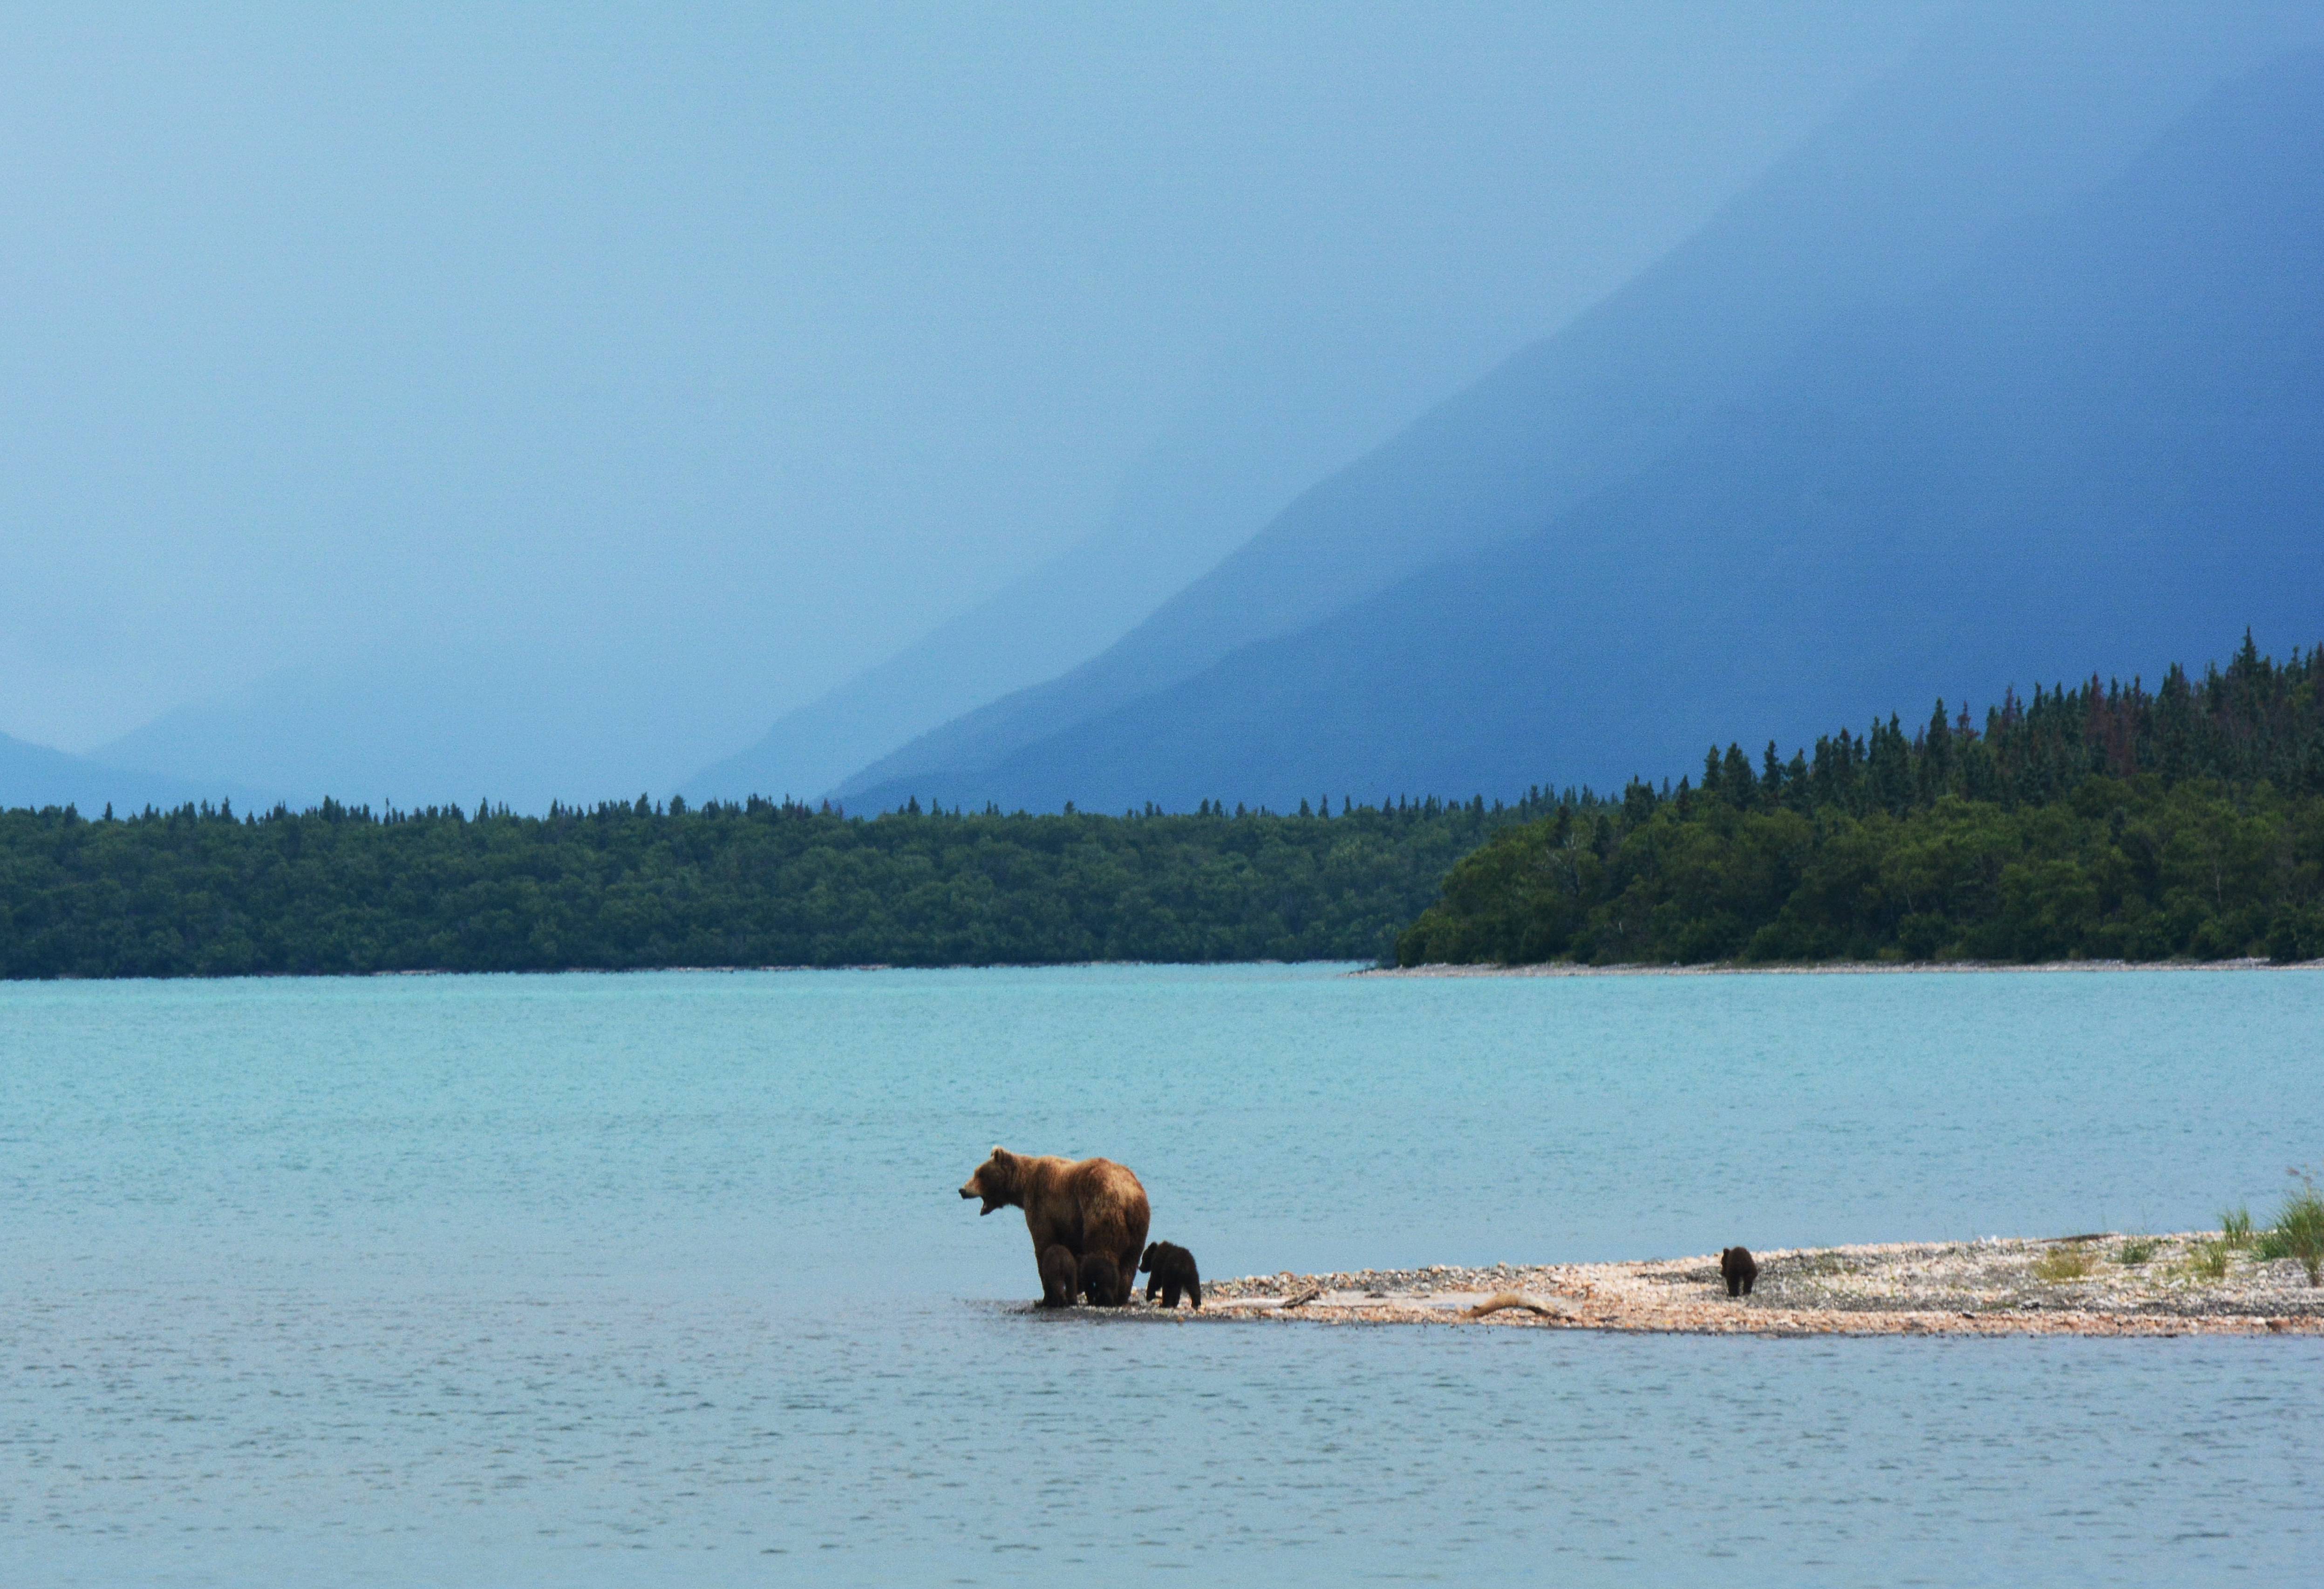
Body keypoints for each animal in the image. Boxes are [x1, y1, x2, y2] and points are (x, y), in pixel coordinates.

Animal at [1039, 1244, 1080, 1308]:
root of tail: (1063, 1259)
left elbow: (1048, 1288)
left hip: (1055, 1270)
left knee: (1057, 1285)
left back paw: (1062, 1302)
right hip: (1071, 1269)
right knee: (1072, 1284)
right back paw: (1073, 1302)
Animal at [1139, 1241, 1202, 1310]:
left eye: (1143, 1258)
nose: (1140, 1268)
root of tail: (1183, 1264)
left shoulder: (1158, 1265)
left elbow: (1155, 1281)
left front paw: (1149, 1296)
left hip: (1170, 1272)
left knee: (1168, 1288)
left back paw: (1164, 1304)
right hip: (1191, 1273)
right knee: (1194, 1287)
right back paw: (1196, 1303)